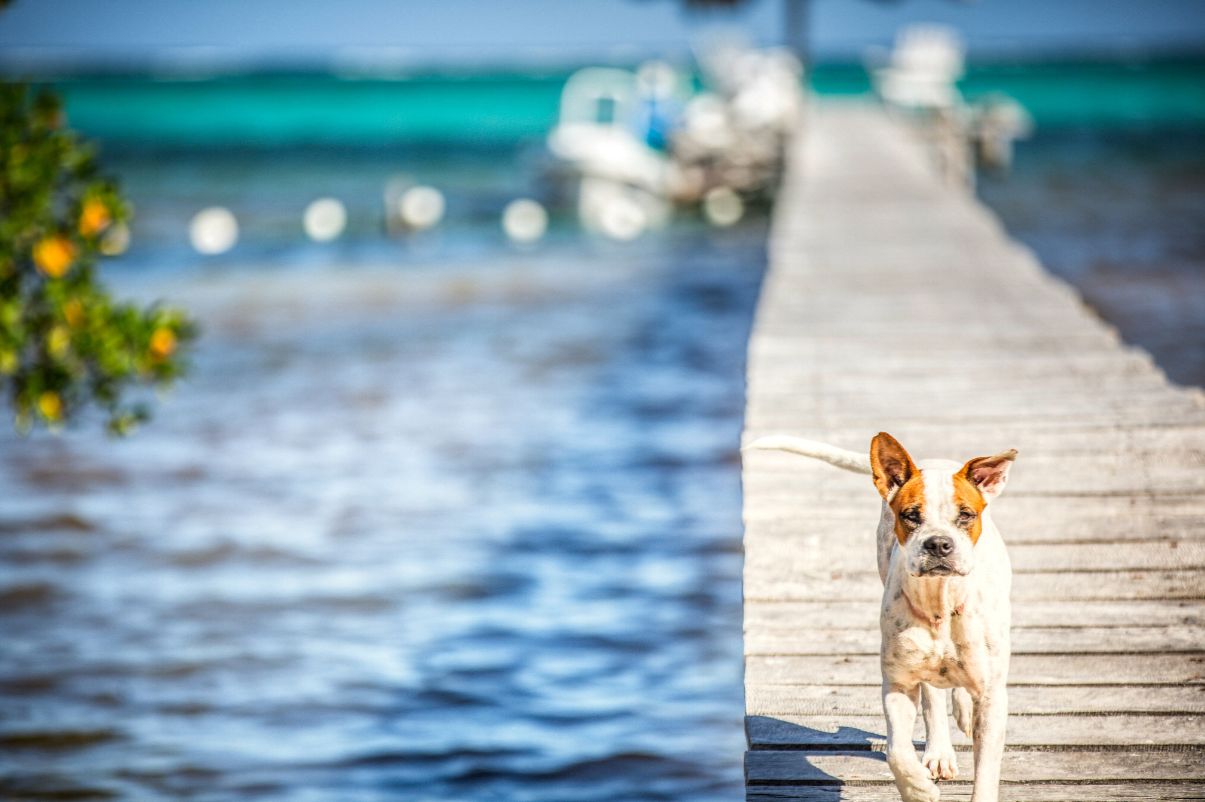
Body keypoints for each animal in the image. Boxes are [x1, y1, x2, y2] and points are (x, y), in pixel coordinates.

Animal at [742, 431, 1017, 799]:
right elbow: (896, 751)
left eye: (966, 515)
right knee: (932, 697)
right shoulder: (898, 685)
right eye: (911, 515)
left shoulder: (992, 699)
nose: (938, 544)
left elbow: (986, 771)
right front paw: (917, 789)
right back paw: (939, 752)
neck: (940, 603)